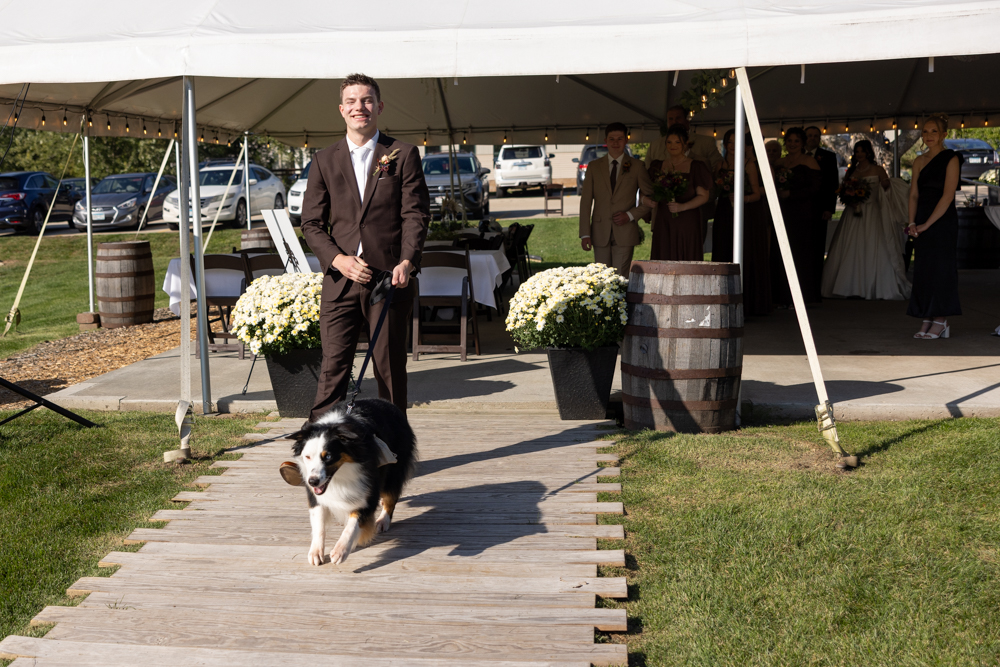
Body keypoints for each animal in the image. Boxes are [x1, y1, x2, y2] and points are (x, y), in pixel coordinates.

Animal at [289, 398, 417, 566]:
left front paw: (340, 551)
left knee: (391, 497)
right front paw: (316, 551)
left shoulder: (367, 489)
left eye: (328, 456)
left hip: (394, 470)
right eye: (308, 457)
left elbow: (353, 524)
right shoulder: (315, 496)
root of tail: (389, 403)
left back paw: (383, 520)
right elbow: (318, 523)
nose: (313, 482)